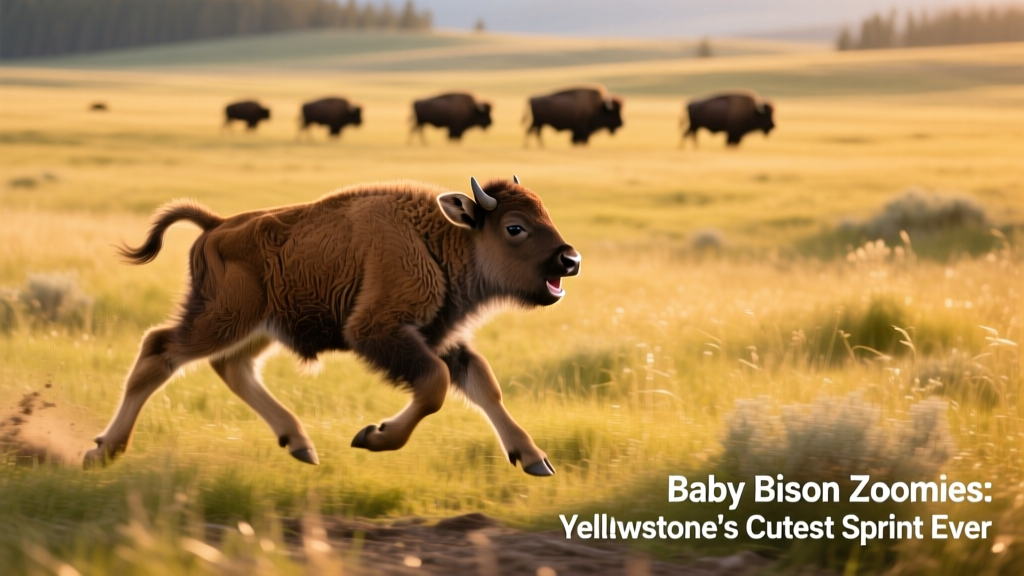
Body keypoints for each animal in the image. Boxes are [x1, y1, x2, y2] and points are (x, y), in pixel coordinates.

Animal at [85, 176, 580, 477]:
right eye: (514, 227)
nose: (570, 260)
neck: (441, 238)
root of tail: (218, 225)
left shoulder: (443, 339)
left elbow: (484, 387)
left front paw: (535, 458)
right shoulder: (377, 333)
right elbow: (435, 387)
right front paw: (373, 437)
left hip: (259, 328)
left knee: (232, 368)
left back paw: (299, 445)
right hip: (221, 319)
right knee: (160, 351)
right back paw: (104, 451)